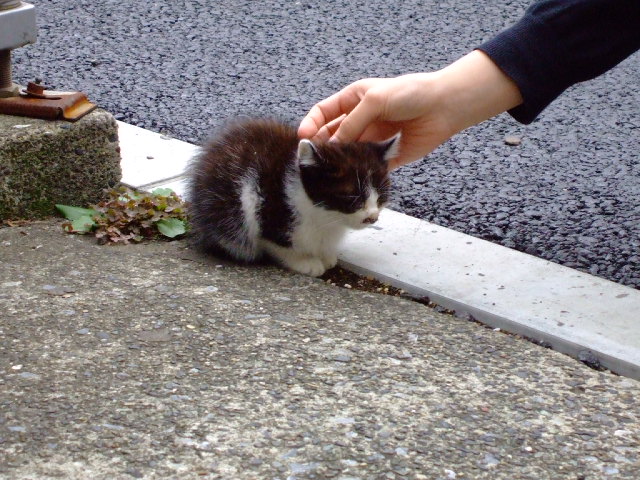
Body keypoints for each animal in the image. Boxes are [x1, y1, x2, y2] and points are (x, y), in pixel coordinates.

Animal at [185, 118, 398, 278]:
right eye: (352, 197)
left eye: (381, 196)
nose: (372, 217)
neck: (325, 217)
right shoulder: (267, 207)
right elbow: (274, 240)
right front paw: (304, 261)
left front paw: (326, 255)